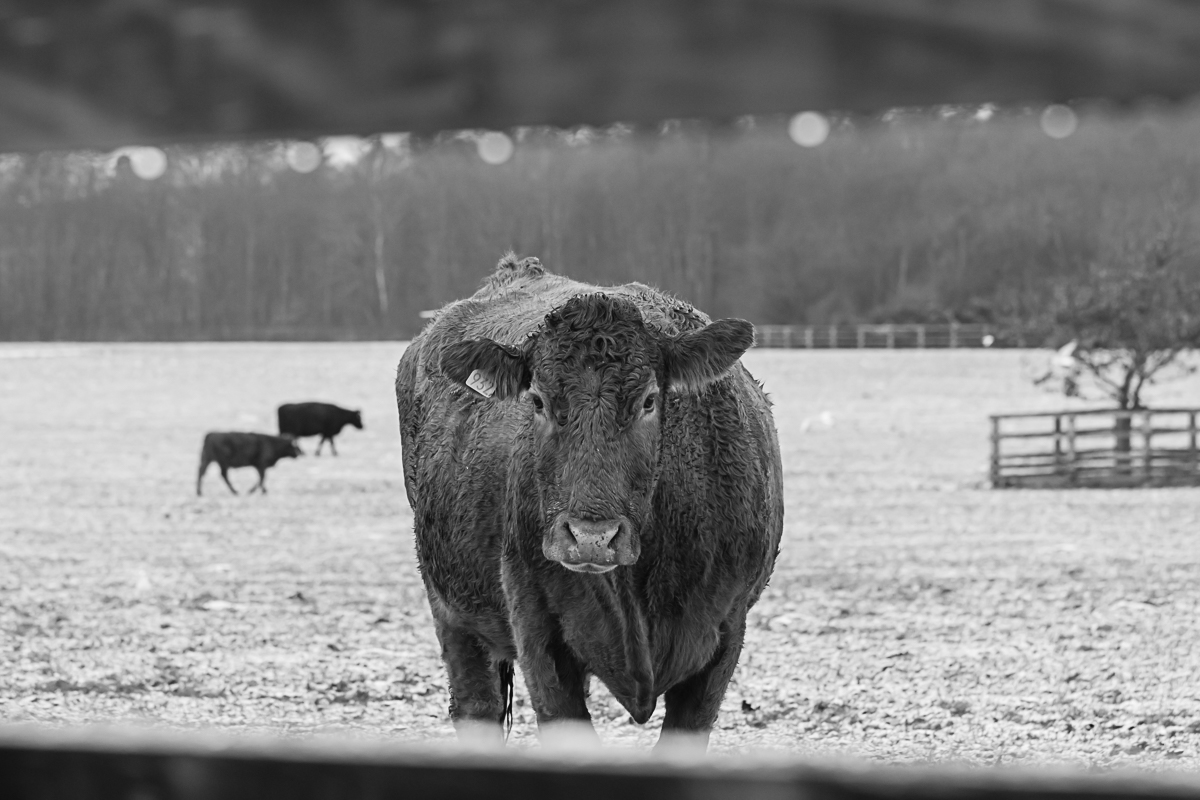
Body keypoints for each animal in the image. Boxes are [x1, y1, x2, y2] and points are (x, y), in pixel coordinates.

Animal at [395, 254, 783, 749]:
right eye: (537, 400)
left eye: (649, 400)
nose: (591, 538)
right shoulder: (538, 631)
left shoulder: (725, 632)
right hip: (450, 608)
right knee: (475, 706)